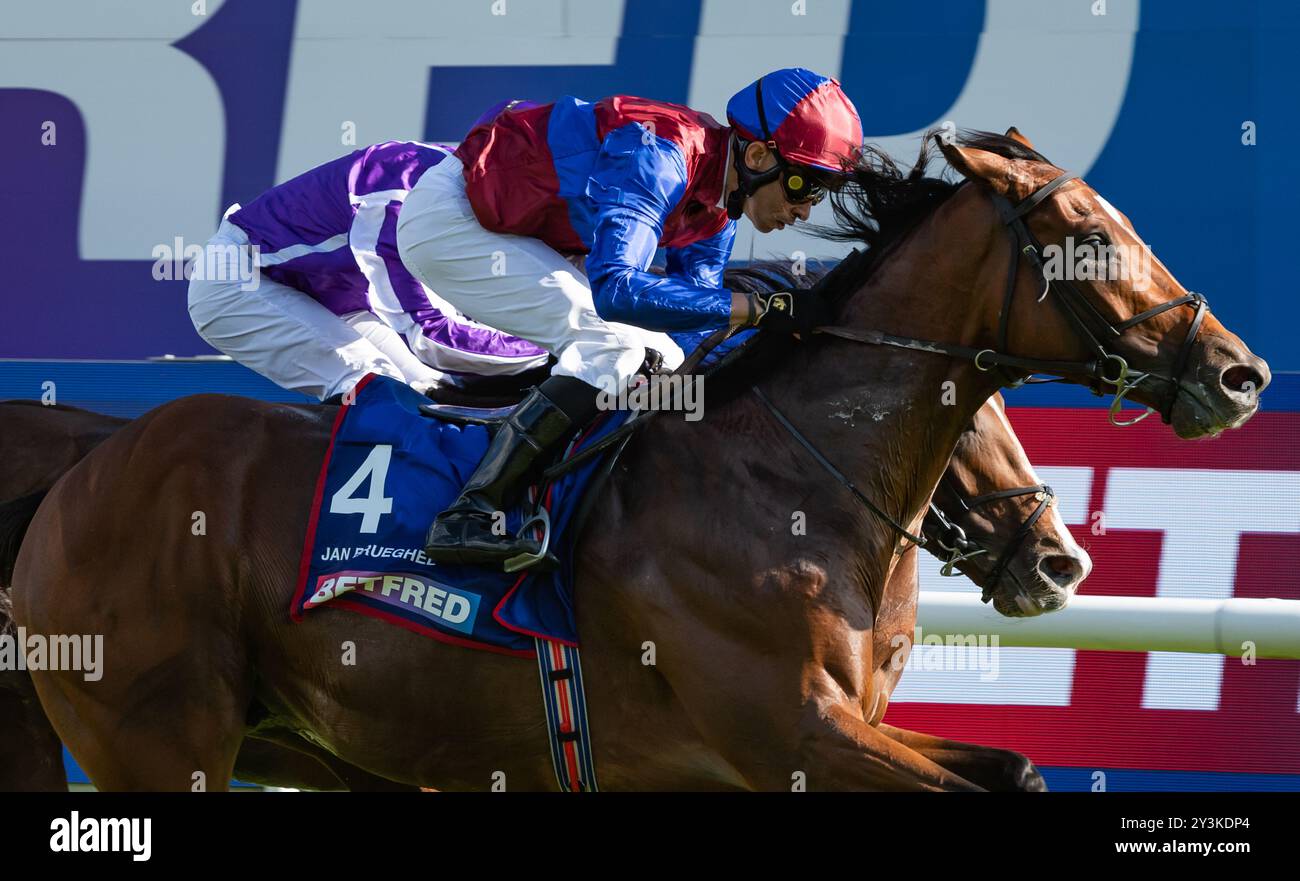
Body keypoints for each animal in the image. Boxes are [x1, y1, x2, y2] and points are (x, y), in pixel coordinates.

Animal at [12, 131, 1268, 795]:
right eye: (1090, 238)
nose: (1239, 373)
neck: (787, 490)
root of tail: (96, 449)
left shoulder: (819, 736)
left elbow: (1015, 767)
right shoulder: (790, 735)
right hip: (158, 741)